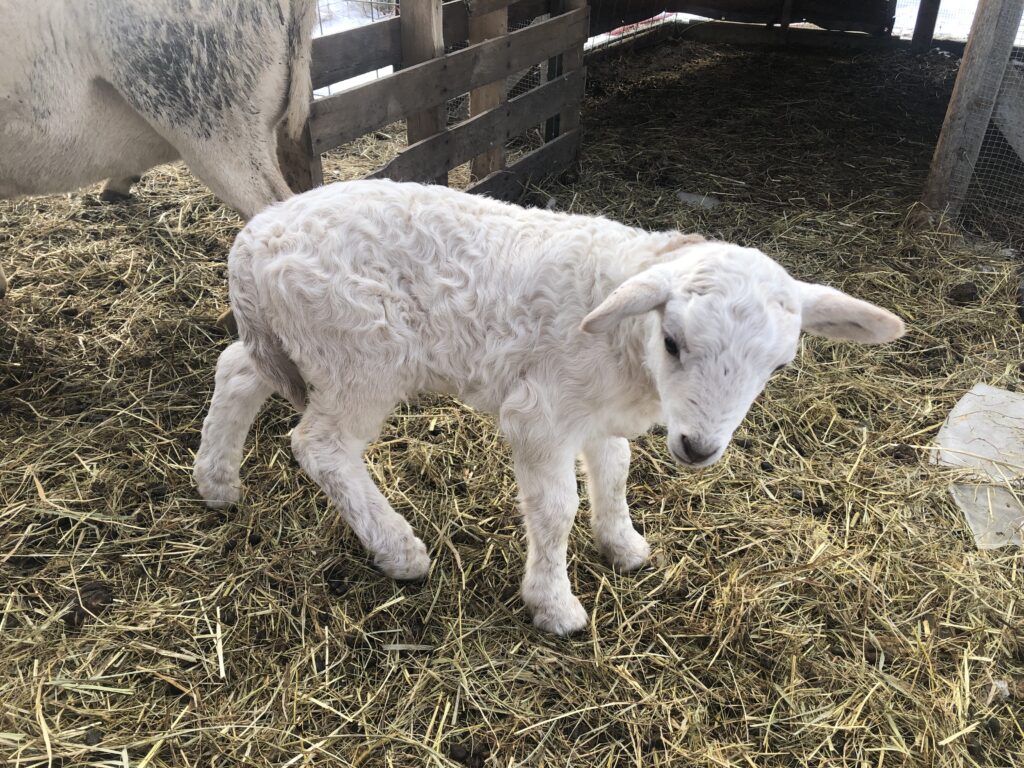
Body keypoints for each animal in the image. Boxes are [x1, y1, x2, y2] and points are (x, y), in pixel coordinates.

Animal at [194, 179, 905, 636]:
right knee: (322, 446)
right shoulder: (542, 415)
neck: (624, 343)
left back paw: (217, 482)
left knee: (236, 370)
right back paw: (398, 549)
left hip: (297, 343)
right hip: (359, 354)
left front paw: (623, 545)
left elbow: (615, 472)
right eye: (674, 342)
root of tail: (252, 239)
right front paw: (554, 605)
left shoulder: (598, 414)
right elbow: (556, 508)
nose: (698, 449)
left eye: (776, 368)